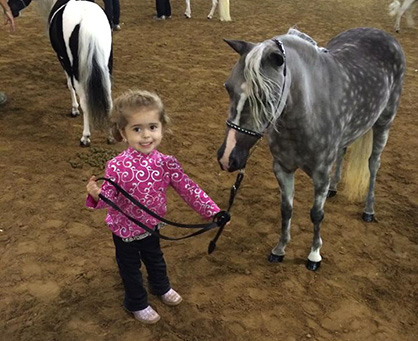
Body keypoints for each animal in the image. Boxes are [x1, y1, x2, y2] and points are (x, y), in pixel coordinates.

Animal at [8, 0, 112, 145]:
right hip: (106, 65)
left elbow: (69, 84)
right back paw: (110, 136)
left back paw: (85, 137)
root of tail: (87, 24)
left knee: (85, 100)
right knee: (108, 99)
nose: (10, 9)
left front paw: (74, 110)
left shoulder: (63, 59)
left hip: (76, 69)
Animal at [219, 27, 404, 270]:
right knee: (343, 151)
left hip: (384, 123)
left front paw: (314, 255)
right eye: (227, 87)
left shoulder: (320, 174)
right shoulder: (282, 168)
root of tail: (384, 35)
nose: (227, 157)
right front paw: (279, 249)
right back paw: (334, 189)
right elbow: (286, 209)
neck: (307, 111)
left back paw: (369, 210)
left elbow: (316, 214)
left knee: (373, 164)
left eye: (265, 96)